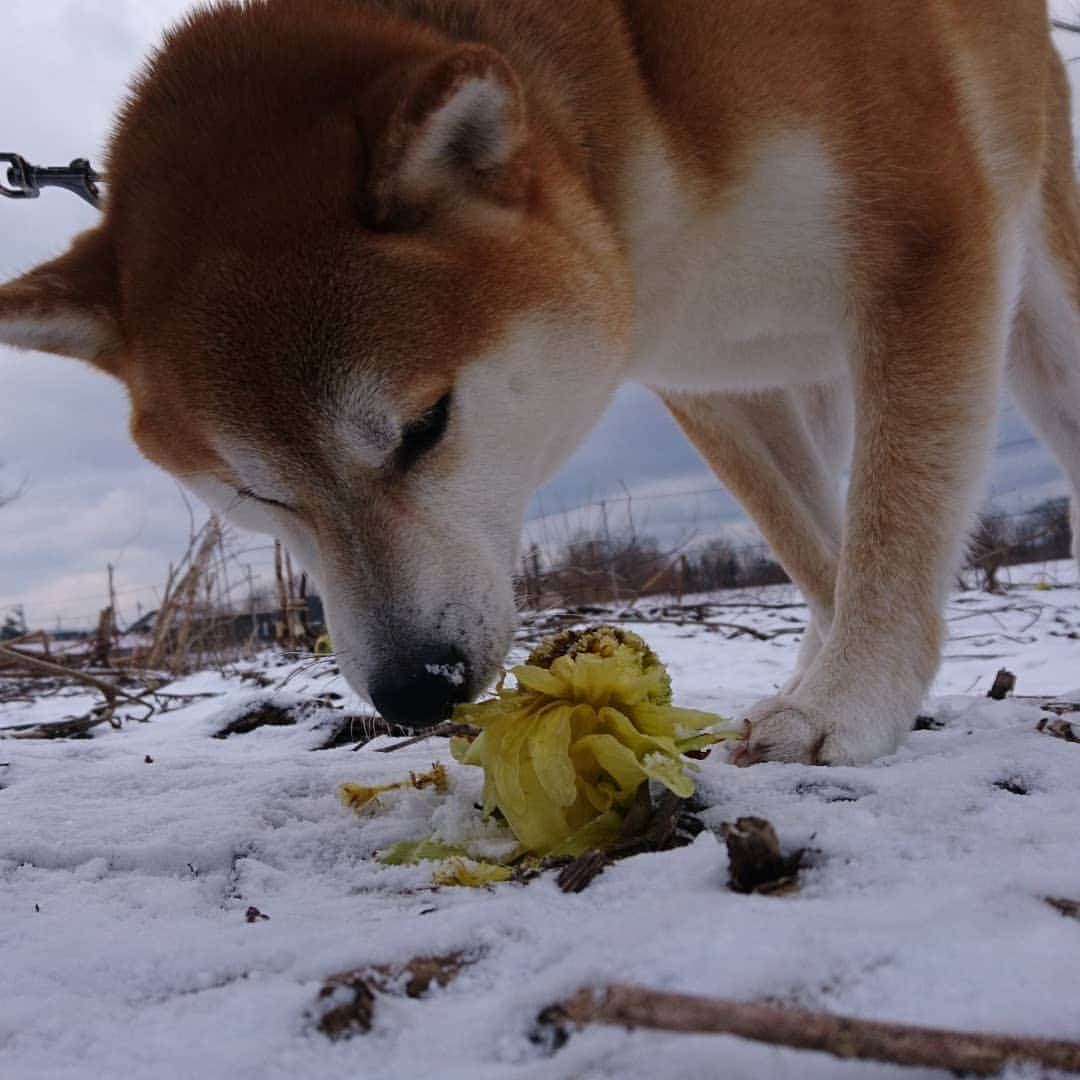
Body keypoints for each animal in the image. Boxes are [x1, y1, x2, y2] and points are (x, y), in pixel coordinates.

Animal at [2, 0, 1080, 764]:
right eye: (253, 493)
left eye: (425, 425)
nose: (416, 689)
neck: (642, 100)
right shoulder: (707, 382)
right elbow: (819, 551)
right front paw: (844, 680)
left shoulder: (926, 244)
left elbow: (892, 522)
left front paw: (847, 701)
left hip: (1038, 301)